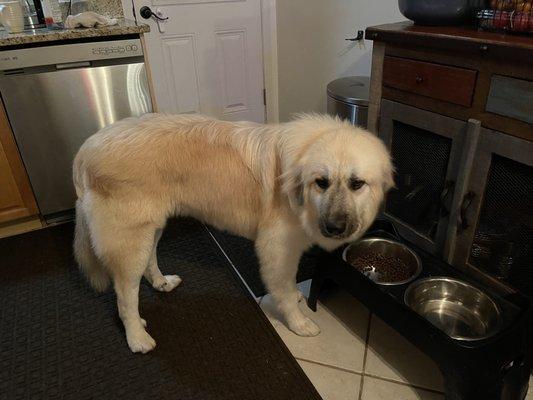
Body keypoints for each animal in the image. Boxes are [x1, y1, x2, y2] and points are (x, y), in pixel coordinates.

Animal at [72, 112, 392, 354]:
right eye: (321, 182)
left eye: (357, 184)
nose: (334, 228)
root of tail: (85, 150)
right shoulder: (277, 248)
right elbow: (285, 291)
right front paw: (299, 323)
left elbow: (290, 287)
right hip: (130, 243)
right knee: (125, 296)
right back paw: (137, 337)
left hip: (152, 229)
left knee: (149, 262)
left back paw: (162, 283)